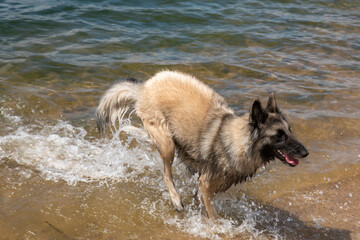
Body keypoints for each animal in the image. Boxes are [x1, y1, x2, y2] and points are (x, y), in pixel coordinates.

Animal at [95, 70, 310, 219]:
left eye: (289, 130)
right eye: (279, 136)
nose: (306, 152)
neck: (236, 141)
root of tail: (145, 86)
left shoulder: (204, 186)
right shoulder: (206, 185)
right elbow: (213, 216)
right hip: (167, 143)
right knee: (166, 173)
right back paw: (175, 199)